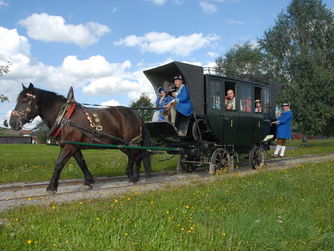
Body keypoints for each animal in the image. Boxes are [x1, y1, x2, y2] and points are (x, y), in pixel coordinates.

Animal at [9, 83, 153, 193]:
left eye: (24, 101)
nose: (12, 123)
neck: (64, 116)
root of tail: (136, 114)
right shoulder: (72, 146)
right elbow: (82, 163)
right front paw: (89, 181)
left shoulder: (69, 147)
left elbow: (58, 164)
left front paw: (51, 187)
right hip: (122, 144)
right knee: (135, 155)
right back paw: (133, 175)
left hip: (131, 141)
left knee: (137, 155)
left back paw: (134, 177)